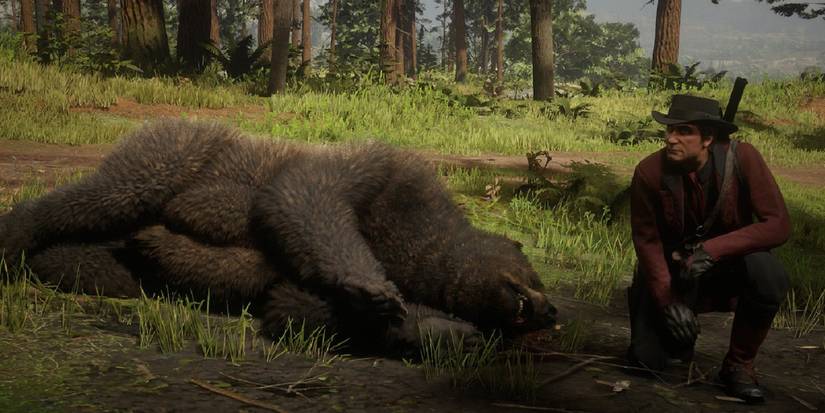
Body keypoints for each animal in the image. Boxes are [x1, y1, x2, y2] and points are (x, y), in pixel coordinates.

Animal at [0, 120, 556, 354]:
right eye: (534, 275)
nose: (549, 310)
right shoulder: (385, 170)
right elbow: (304, 191)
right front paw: (369, 285)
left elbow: (293, 305)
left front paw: (438, 330)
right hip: (173, 147)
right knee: (103, 196)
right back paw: (15, 237)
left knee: (108, 264)